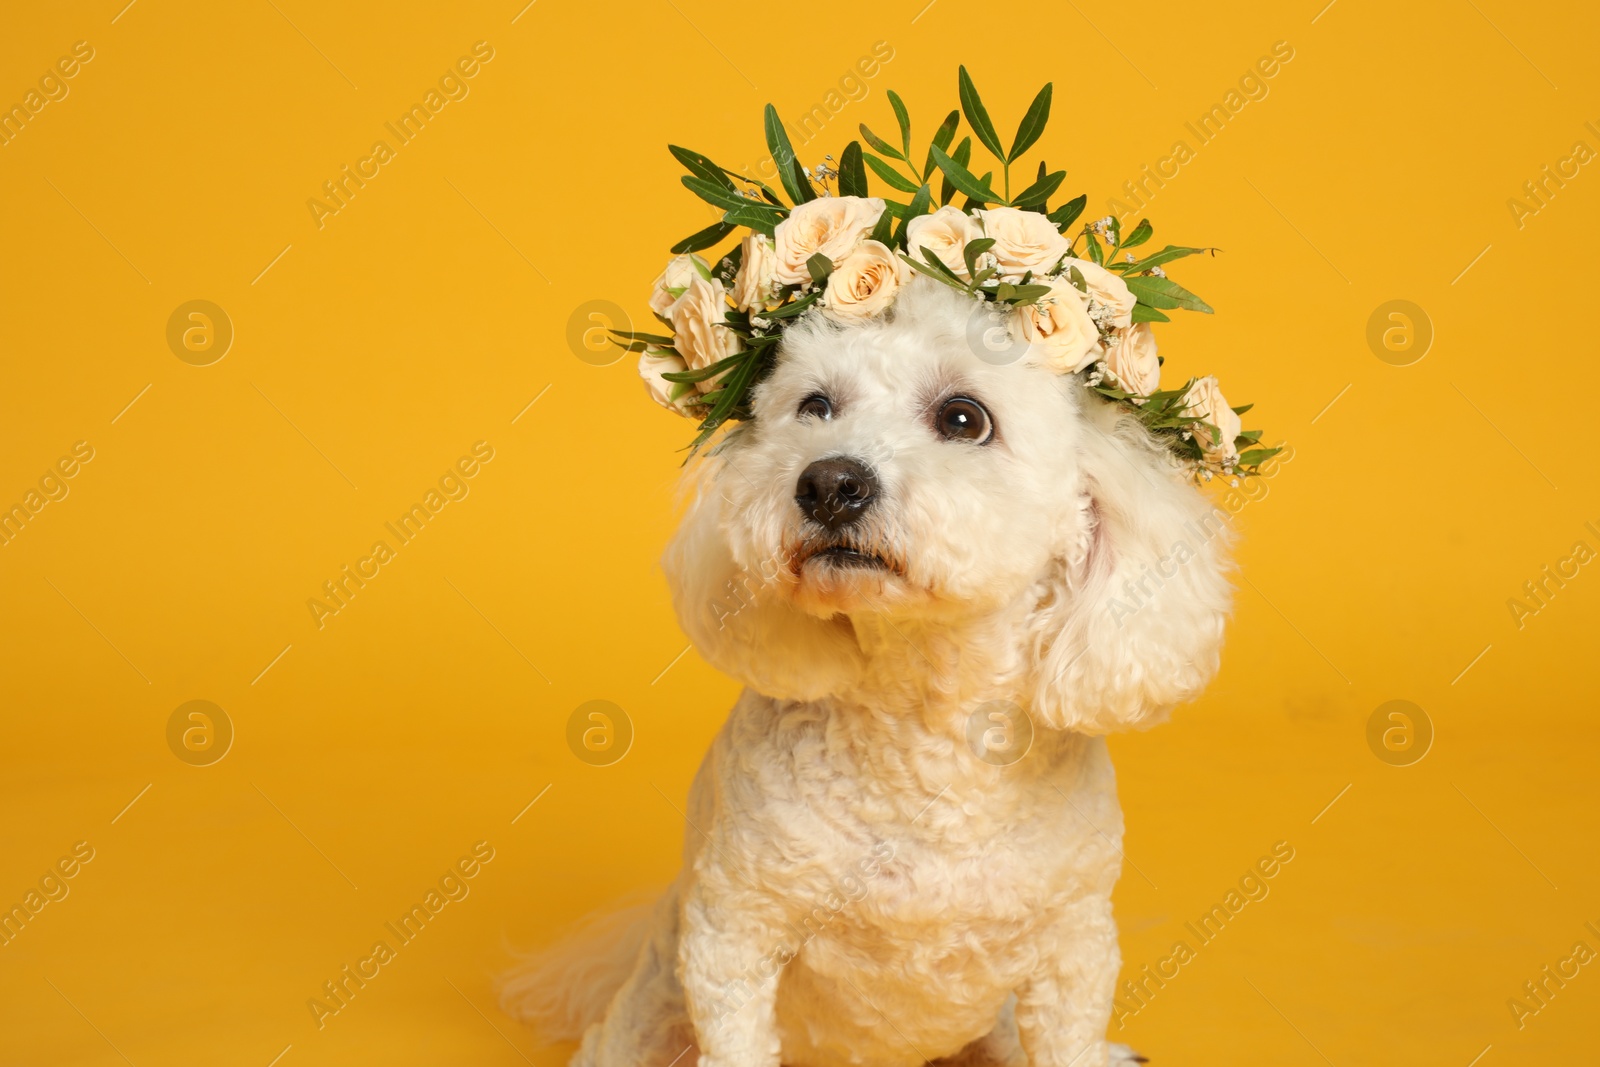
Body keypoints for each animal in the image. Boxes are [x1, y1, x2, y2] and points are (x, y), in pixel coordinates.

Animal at [505, 278, 1228, 1067]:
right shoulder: (732, 936)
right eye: (815, 406)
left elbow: (1069, 1036)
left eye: (964, 418)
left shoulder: (1075, 954)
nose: (829, 482)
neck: (923, 723)